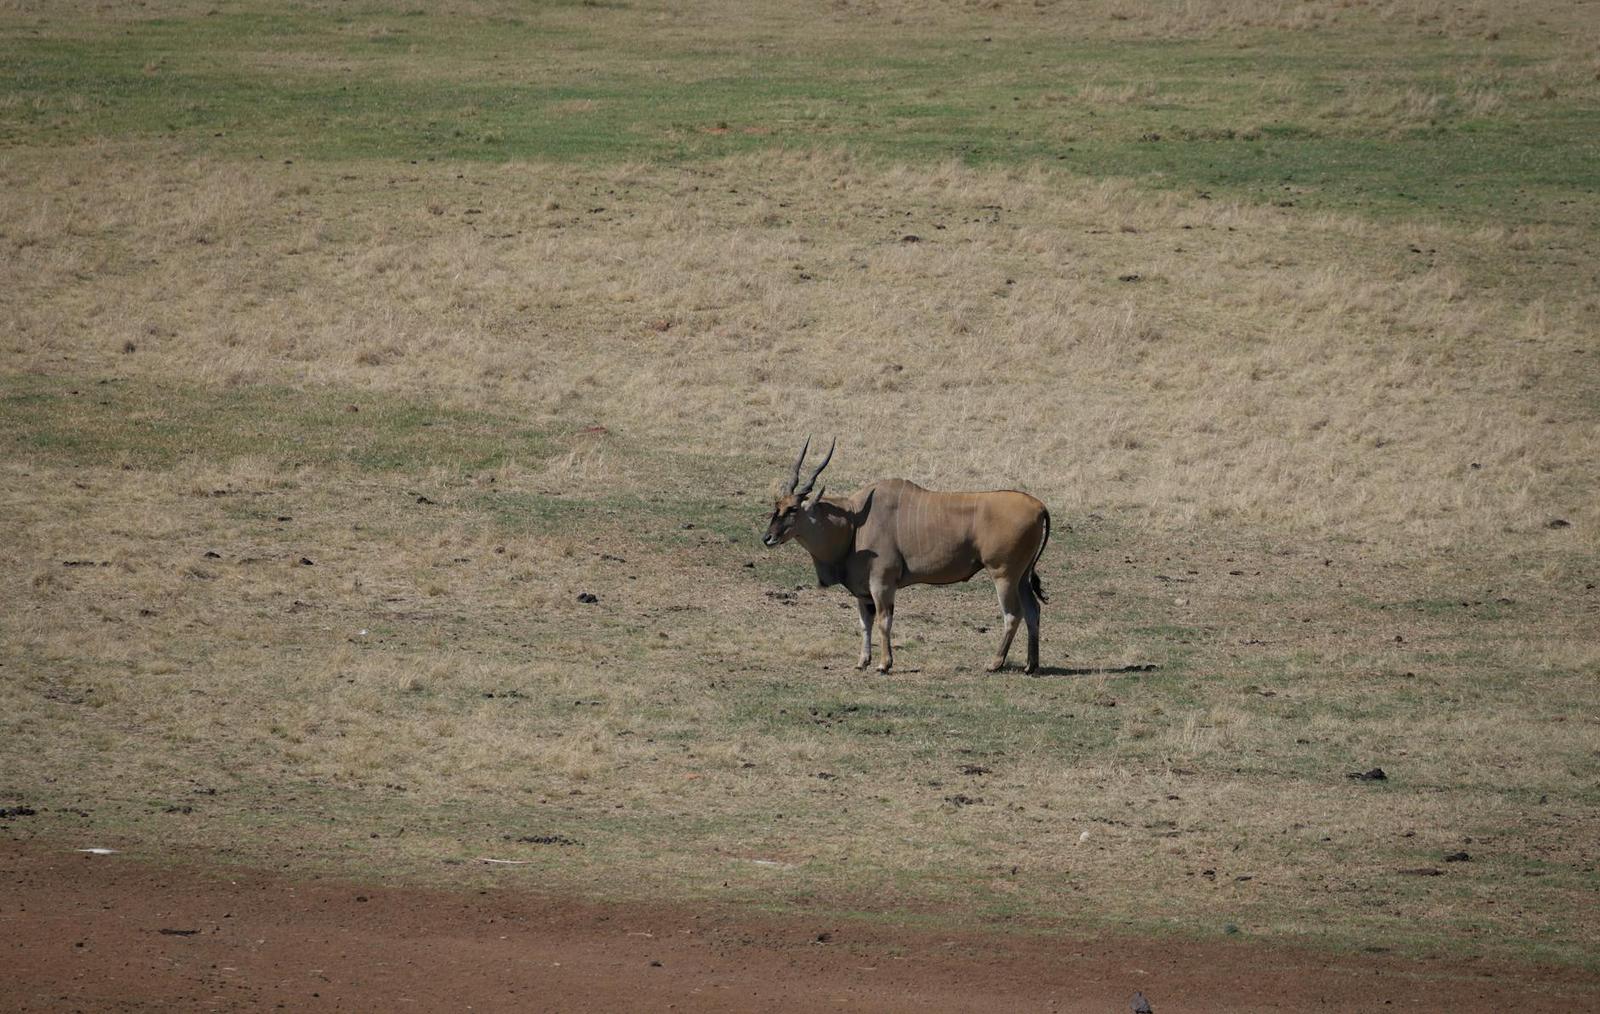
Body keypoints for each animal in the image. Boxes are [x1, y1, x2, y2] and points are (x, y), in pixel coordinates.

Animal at [761, 438, 1051, 674]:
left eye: (793, 509)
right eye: (777, 506)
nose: (768, 538)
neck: (855, 521)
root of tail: (1039, 506)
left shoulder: (882, 583)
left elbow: (883, 621)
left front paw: (883, 664)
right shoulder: (863, 591)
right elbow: (865, 623)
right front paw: (862, 661)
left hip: (1003, 575)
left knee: (1013, 614)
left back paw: (994, 663)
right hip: (1021, 577)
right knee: (1033, 610)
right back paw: (1031, 665)